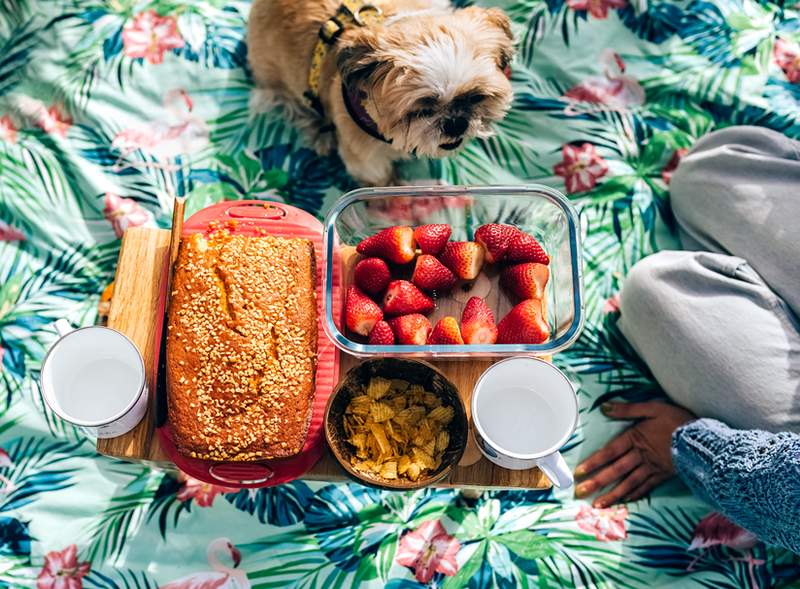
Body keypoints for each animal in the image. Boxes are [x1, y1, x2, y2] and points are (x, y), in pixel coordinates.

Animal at [247, 0, 516, 185]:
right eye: (422, 110)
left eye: (477, 97)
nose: (456, 123)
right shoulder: (365, 159)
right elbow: (380, 179)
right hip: (280, 88)